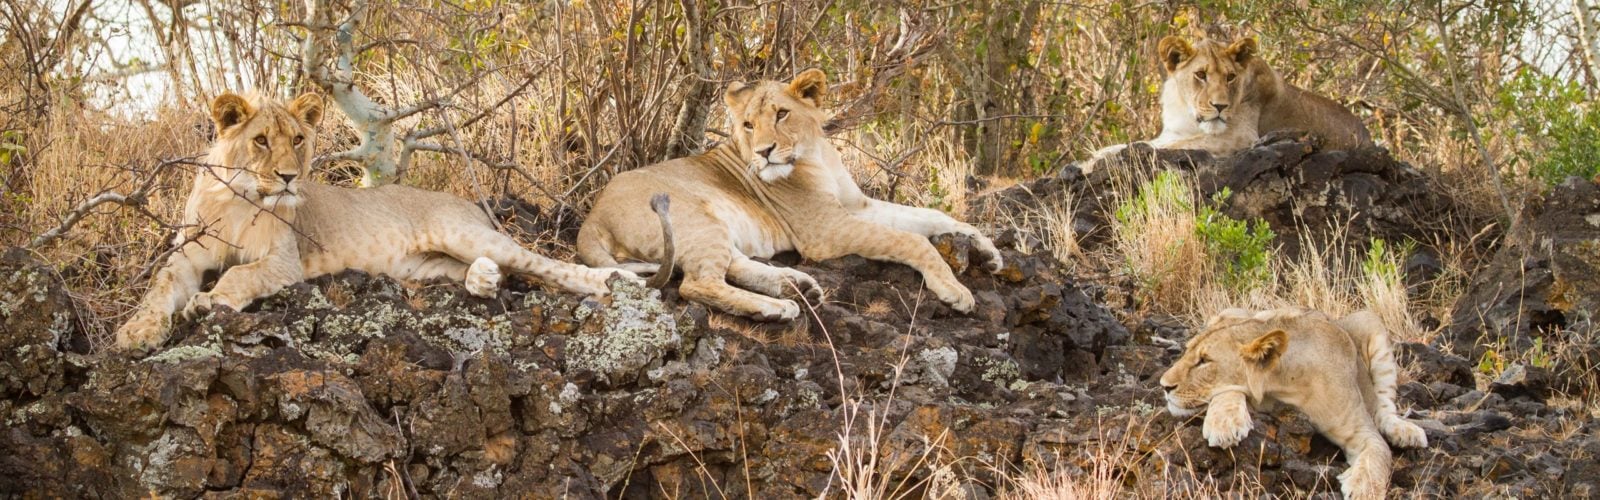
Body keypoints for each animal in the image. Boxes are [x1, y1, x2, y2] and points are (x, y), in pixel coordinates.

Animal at [116, 93, 640, 350]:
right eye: (261, 140)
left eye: (298, 139)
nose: (288, 177)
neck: (241, 198)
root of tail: (467, 202)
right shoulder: (186, 258)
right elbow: (158, 288)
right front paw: (136, 333)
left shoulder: (283, 263)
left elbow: (239, 275)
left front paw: (206, 304)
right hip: (423, 265)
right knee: (498, 271)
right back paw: (484, 278)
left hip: (461, 232)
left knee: (550, 265)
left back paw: (614, 282)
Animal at [576, 69, 998, 320]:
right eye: (748, 125)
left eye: (781, 114)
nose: (763, 152)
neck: (815, 153)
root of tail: (592, 217)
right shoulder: (826, 231)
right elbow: (913, 241)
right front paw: (955, 290)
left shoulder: (856, 206)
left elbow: (932, 217)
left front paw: (988, 252)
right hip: (694, 218)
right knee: (697, 284)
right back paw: (777, 306)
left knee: (731, 266)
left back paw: (795, 285)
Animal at [1094, 35, 1369, 168]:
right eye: (1200, 75)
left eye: (1230, 77)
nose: (1220, 106)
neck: (1187, 110)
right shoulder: (1173, 133)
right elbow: (1137, 144)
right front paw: (1098, 155)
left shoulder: (1240, 137)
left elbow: (1170, 148)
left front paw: (1093, 164)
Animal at [1158, 309, 1433, 500]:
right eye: (1186, 353)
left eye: (1204, 361)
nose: (1164, 385)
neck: (1287, 384)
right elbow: (1228, 392)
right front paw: (1225, 424)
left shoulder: (1362, 430)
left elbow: (1379, 453)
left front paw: (1363, 488)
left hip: (1370, 320)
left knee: (1384, 404)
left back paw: (1404, 432)